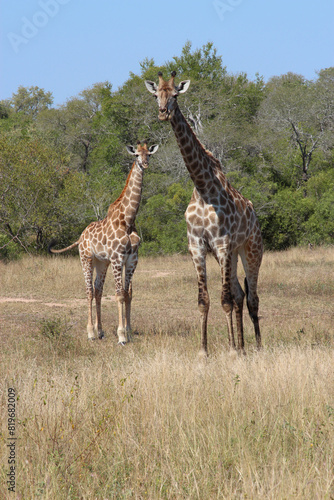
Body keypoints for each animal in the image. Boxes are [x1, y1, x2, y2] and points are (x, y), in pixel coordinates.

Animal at [49, 141, 159, 344]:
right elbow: (119, 294)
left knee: (97, 289)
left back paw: (99, 331)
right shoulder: (117, 258)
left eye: (149, 154)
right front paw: (122, 335)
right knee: (89, 291)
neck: (128, 220)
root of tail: (81, 236)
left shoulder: (132, 259)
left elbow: (128, 294)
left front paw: (128, 331)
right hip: (86, 258)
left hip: (101, 262)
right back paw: (91, 333)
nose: (145, 164)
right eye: (136, 155)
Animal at [146, 73, 264, 356]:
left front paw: (230, 350)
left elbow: (225, 300)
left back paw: (256, 347)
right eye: (156, 95)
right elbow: (204, 300)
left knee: (252, 297)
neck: (203, 188)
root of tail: (255, 216)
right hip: (233, 253)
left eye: (175, 95)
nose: (163, 113)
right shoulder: (197, 246)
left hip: (251, 250)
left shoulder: (221, 244)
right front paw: (204, 351)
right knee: (241, 294)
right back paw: (243, 347)